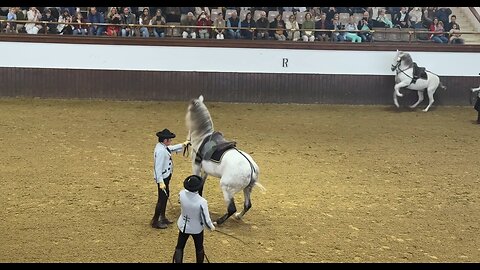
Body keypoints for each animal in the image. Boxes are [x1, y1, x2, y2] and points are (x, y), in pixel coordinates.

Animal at [185, 95, 266, 226]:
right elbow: (201, 184)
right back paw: (238, 216)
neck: (202, 137)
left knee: (232, 208)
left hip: (227, 189)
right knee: (247, 205)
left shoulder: (196, 166)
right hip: (247, 189)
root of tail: (251, 169)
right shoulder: (205, 170)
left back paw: (217, 222)